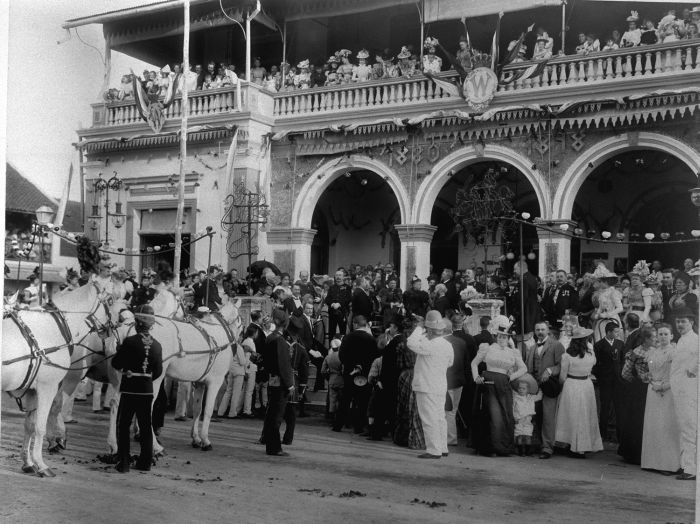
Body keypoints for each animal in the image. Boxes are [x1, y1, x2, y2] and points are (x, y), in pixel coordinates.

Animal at [2, 284, 112, 476]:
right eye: (109, 302)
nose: (112, 327)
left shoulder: (32, 391)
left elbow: (30, 425)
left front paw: (28, 462)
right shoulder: (49, 387)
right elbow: (40, 426)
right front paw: (41, 464)